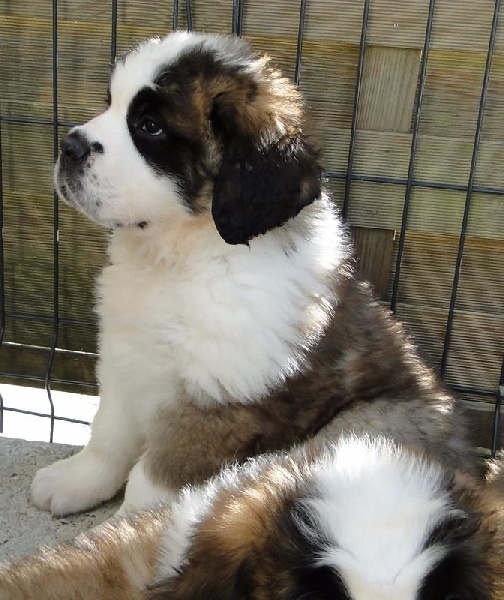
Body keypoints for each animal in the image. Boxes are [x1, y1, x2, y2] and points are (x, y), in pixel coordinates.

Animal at [31, 31, 478, 518]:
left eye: (150, 126)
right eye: (110, 104)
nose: (68, 146)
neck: (181, 259)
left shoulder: (213, 405)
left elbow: (152, 483)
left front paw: (129, 529)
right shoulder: (124, 355)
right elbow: (109, 433)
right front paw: (77, 480)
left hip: (368, 423)